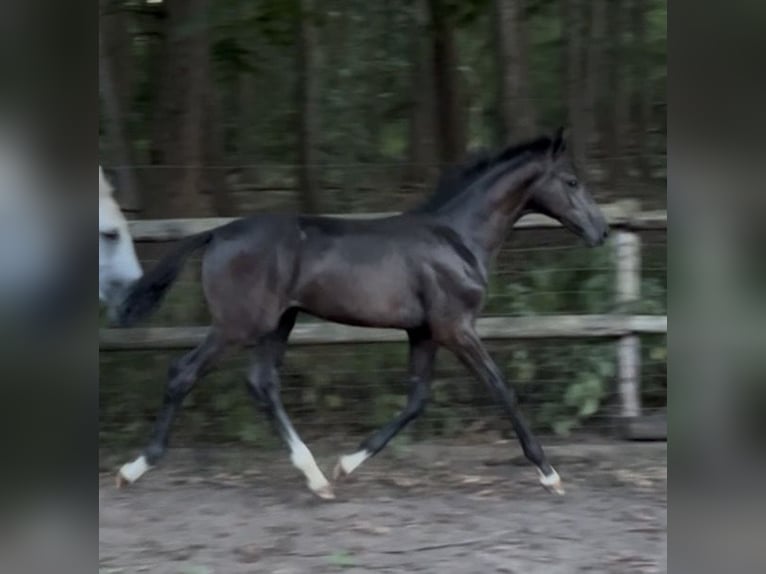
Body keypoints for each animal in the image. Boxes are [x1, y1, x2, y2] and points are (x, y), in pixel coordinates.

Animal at [114, 129, 608, 499]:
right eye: (571, 181)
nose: (601, 231)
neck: (458, 239)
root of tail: (216, 234)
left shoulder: (423, 332)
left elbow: (416, 400)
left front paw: (346, 465)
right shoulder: (456, 328)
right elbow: (501, 388)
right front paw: (549, 474)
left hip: (278, 323)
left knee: (262, 384)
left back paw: (315, 477)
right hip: (239, 325)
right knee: (183, 372)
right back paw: (133, 469)